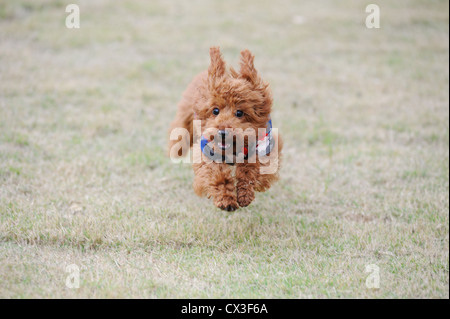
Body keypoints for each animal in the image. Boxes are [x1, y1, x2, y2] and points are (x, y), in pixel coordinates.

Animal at [169, 47, 282, 211]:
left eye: (240, 113)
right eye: (215, 110)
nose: (222, 132)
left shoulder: (263, 148)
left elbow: (250, 170)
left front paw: (244, 195)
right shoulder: (208, 153)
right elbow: (217, 175)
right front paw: (226, 200)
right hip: (186, 117)